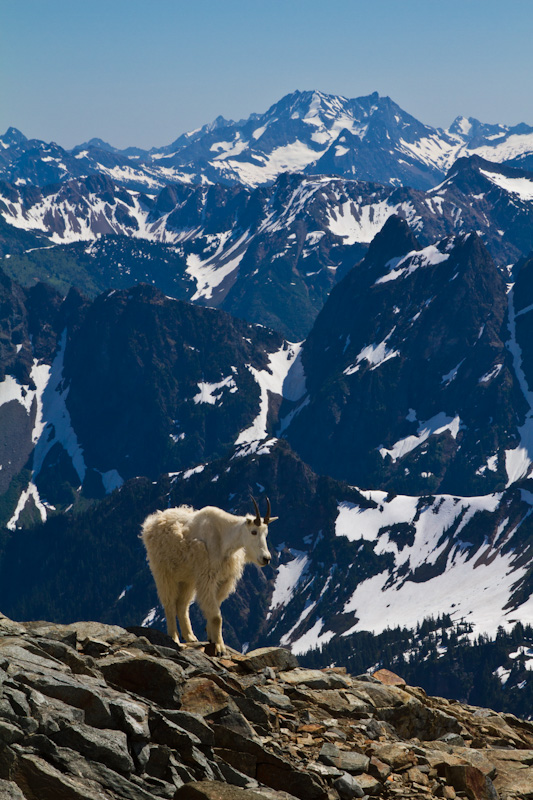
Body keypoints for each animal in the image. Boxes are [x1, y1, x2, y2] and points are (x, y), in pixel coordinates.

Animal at [141, 500, 276, 656]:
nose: (266, 559)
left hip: (187, 578)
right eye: (253, 531)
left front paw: (211, 636)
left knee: (182, 604)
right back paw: (174, 638)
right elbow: (216, 617)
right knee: (169, 603)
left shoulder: (223, 580)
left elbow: (215, 609)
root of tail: (151, 522)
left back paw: (190, 637)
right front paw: (220, 648)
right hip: (164, 572)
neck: (224, 538)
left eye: (266, 533)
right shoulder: (207, 577)